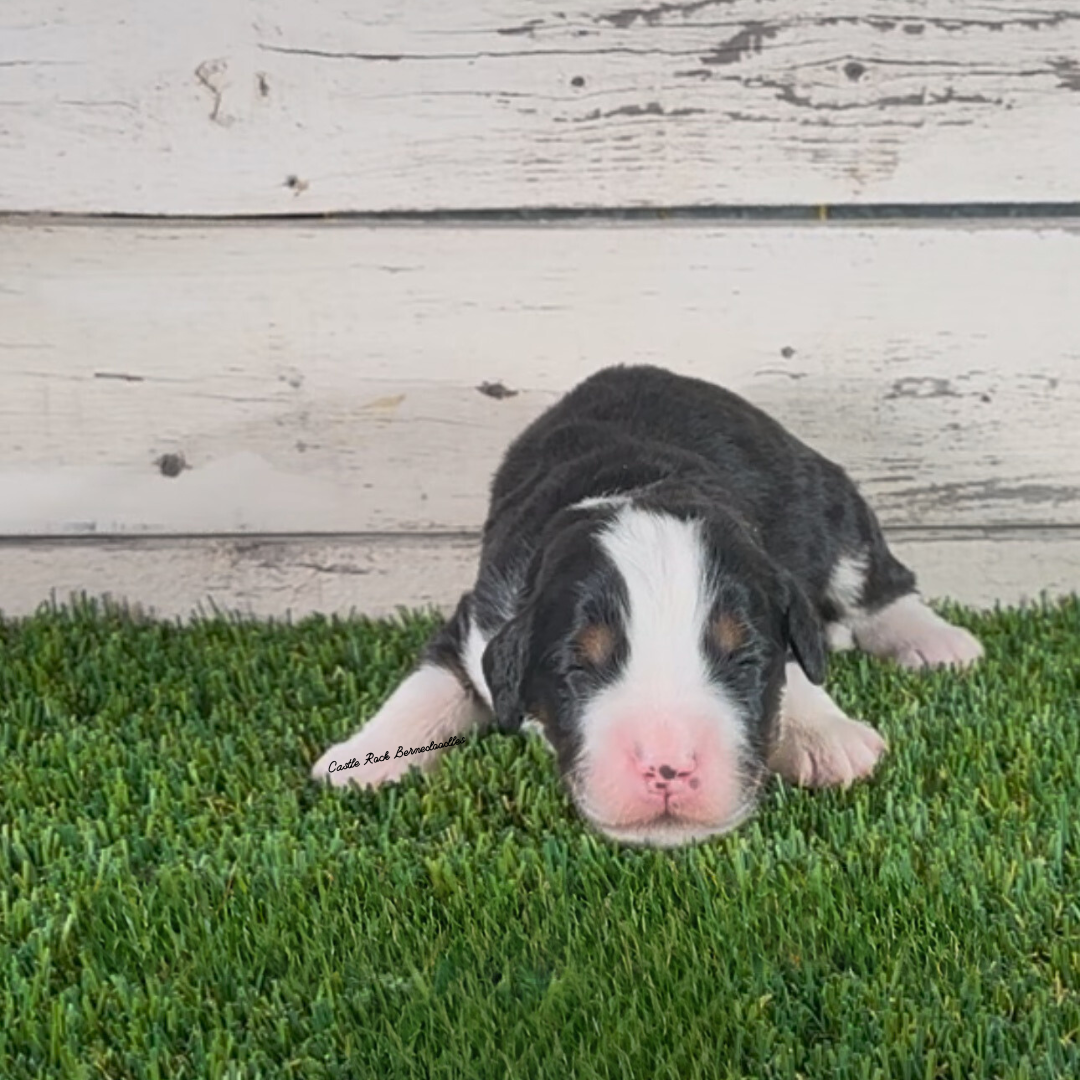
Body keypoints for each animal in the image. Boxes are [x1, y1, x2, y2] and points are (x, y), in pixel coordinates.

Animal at [311, 367, 980, 846]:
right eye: (578, 667)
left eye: (743, 662)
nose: (667, 767)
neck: (632, 485)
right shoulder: (479, 624)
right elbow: (425, 687)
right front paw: (359, 759)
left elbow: (796, 667)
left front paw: (828, 736)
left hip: (824, 500)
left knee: (875, 578)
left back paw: (937, 641)